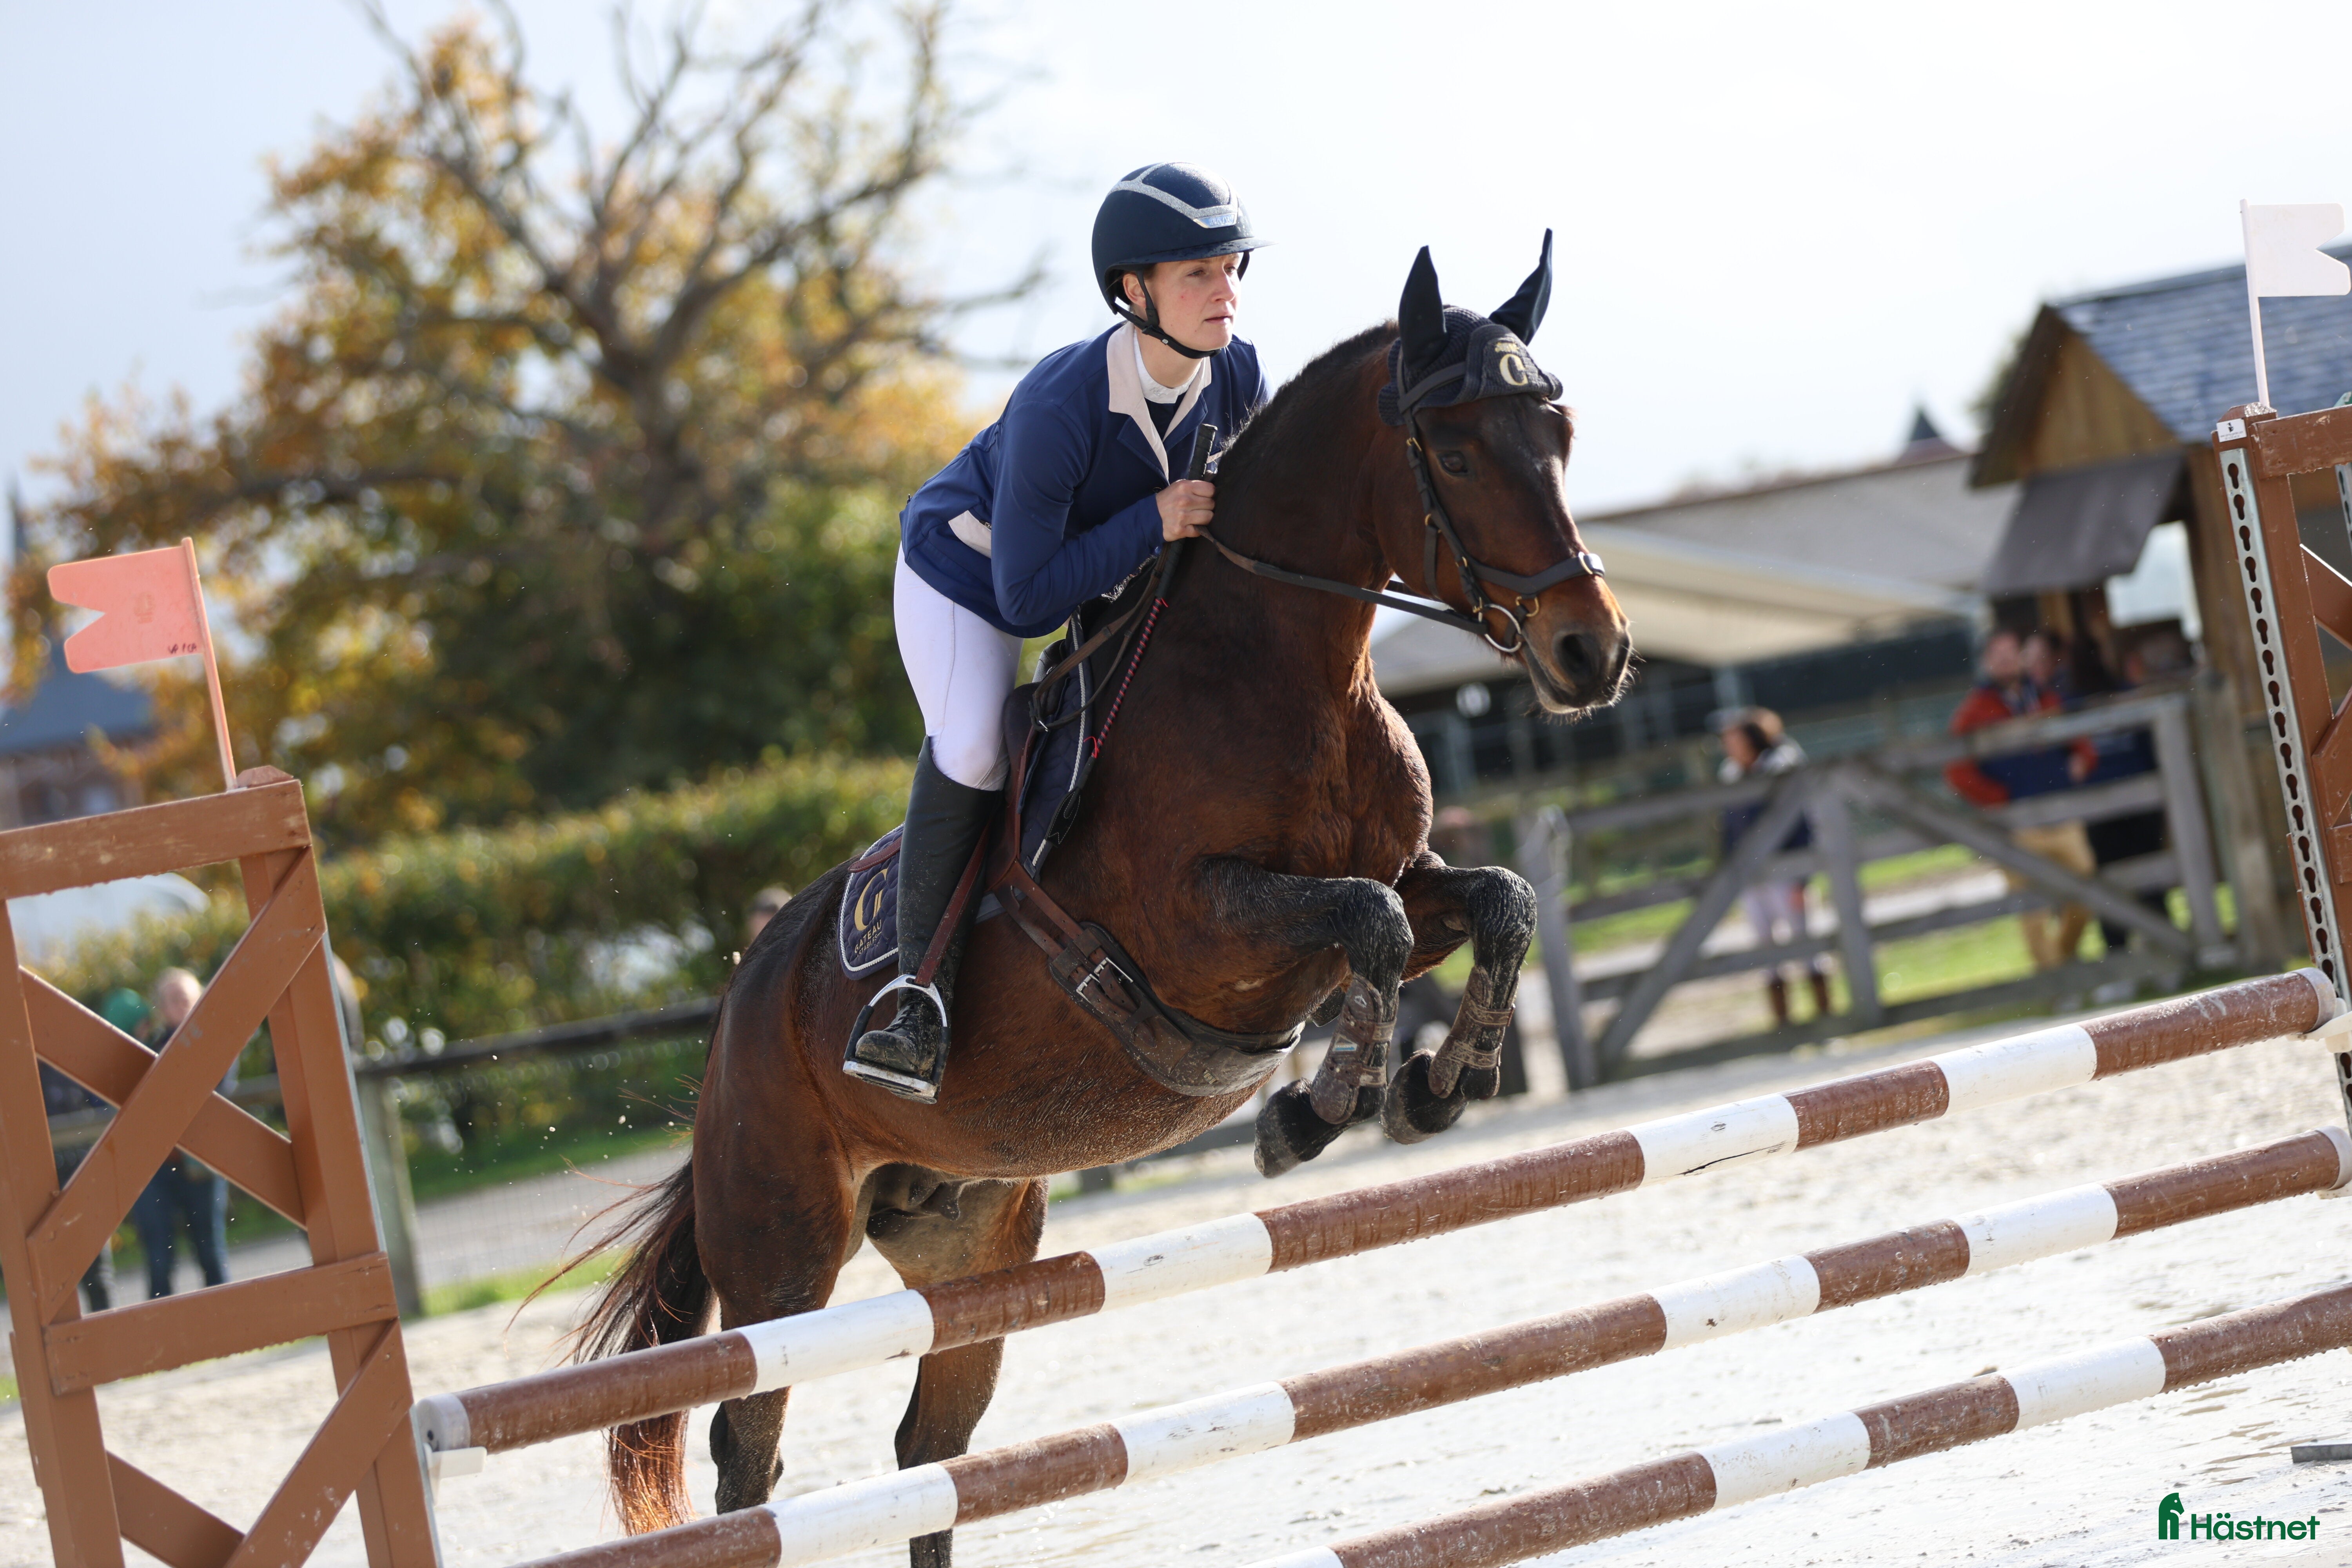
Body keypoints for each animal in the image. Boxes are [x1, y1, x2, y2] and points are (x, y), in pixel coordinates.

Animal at [573, 240, 1632, 1566]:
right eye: (1452, 453)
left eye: (1560, 432)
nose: (1592, 653)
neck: (1286, 670)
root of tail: (738, 1002)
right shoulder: (1194, 927)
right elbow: (1370, 928)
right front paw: (1316, 1110)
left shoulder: (1404, 876)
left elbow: (1496, 901)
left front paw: (1444, 1084)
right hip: (782, 1250)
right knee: (748, 1452)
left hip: (970, 1233)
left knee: (930, 1451)